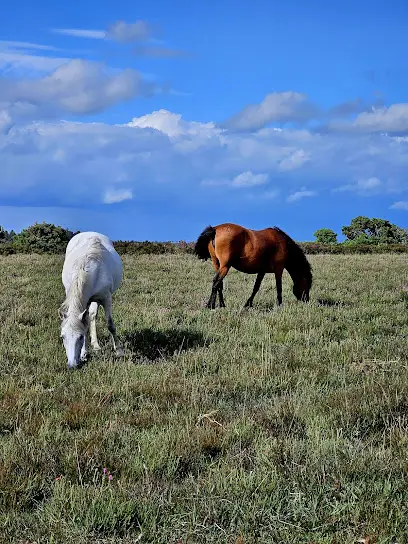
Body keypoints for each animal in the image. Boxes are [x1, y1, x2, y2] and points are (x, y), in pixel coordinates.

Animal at [58, 232, 123, 368]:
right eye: (63, 337)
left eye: (80, 337)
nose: (72, 365)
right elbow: (85, 324)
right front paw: (84, 354)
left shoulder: (106, 298)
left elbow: (110, 325)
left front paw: (119, 351)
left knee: (93, 316)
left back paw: (96, 346)